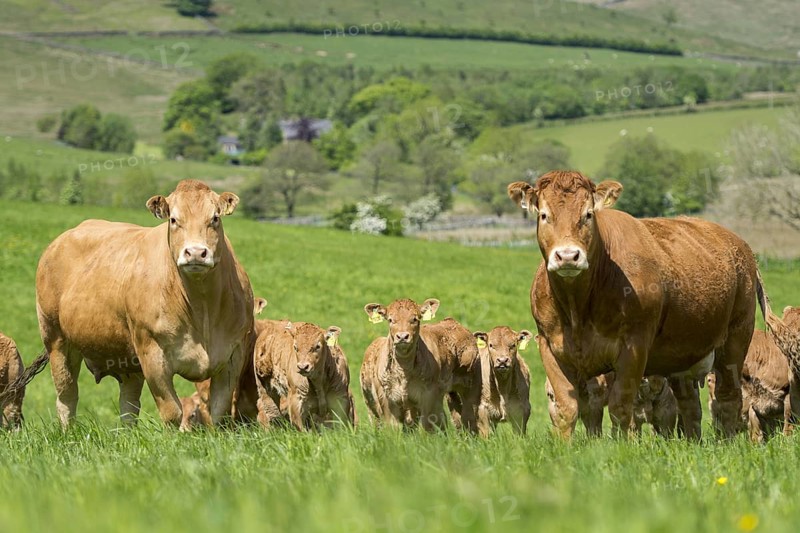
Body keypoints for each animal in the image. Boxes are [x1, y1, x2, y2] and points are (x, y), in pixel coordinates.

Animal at [36, 180, 254, 429]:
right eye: (173, 220)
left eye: (215, 218)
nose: (196, 253)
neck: (202, 309)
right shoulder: (152, 354)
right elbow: (172, 412)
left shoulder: (233, 355)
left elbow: (219, 413)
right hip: (56, 338)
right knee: (67, 395)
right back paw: (68, 431)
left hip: (126, 356)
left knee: (129, 404)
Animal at [508, 170, 761, 439]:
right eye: (544, 215)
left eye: (588, 214)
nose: (568, 256)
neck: (578, 308)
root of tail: (740, 244)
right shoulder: (549, 346)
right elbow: (566, 408)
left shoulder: (634, 347)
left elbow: (620, 407)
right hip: (683, 354)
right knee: (690, 404)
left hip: (736, 337)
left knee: (728, 397)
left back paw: (728, 439)